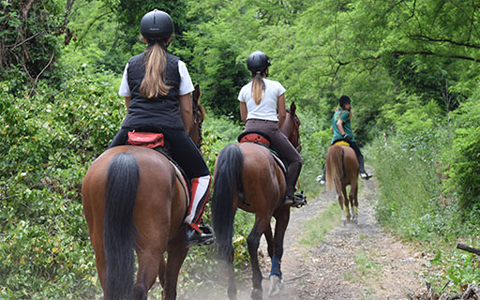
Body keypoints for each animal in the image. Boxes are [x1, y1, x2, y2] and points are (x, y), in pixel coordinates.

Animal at [81, 85, 204, 300]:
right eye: (200, 120)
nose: (199, 144)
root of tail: (126, 158)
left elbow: (164, 280)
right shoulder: (177, 244)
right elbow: (169, 287)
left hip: (105, 247)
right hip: (150, 245)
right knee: (139, 287)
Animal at [212, 102, 302, 298]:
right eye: (298, 123)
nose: (298, 145)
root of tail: (237, 151)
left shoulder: (264, 213)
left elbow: (271, 245)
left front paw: (275, 277)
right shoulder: (281, 213)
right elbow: (278, 245)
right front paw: (276, 279)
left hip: (235, 209)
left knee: (228, 244)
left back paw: (232, 291)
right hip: (264, 212)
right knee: (252, 241)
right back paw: (256, 287)